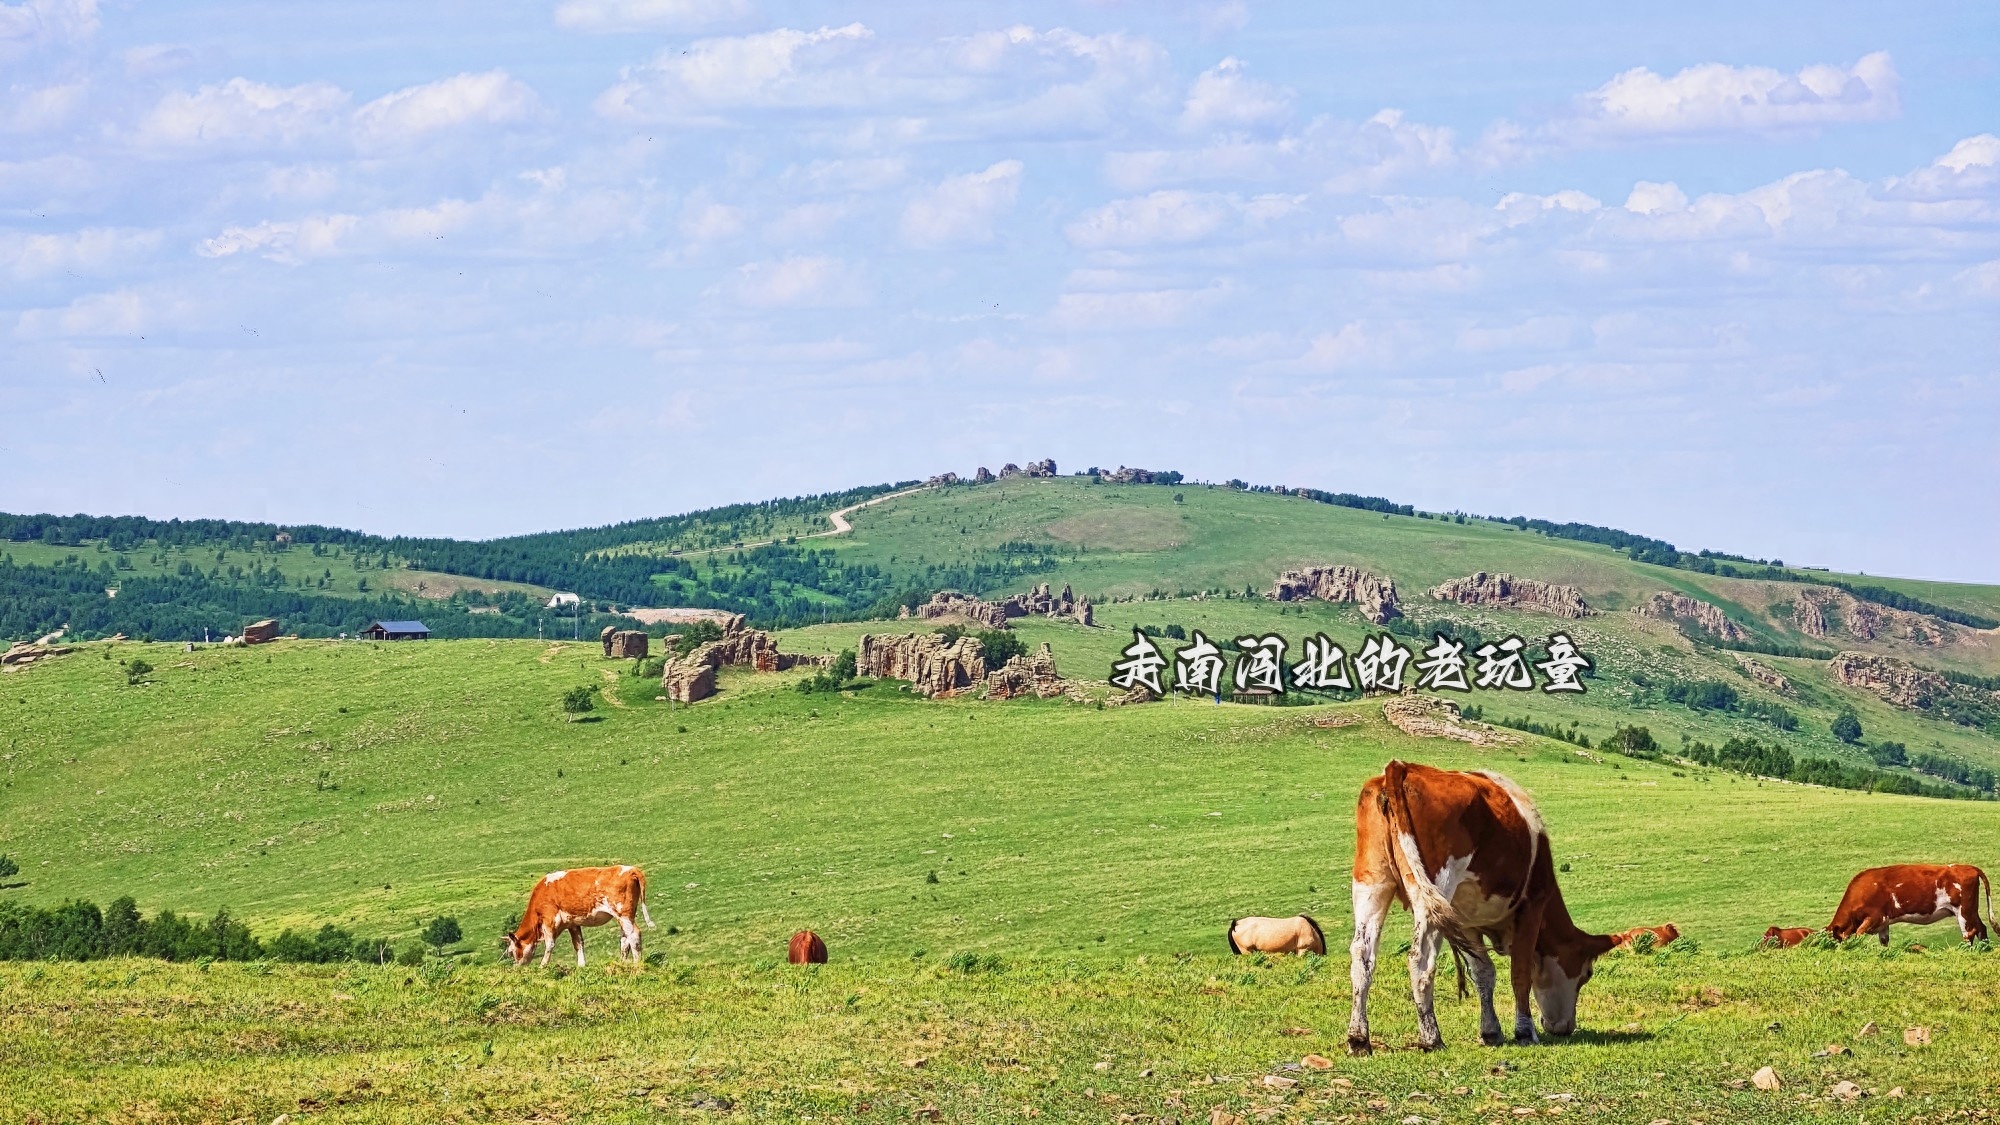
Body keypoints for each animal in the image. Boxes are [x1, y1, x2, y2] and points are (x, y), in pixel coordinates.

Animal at [504, 856, 652, 964]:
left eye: (511, 952)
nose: (517, 967)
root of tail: (632, 869)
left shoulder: (549, 919)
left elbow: (549, 944)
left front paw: (543, 966)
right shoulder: (572, 923)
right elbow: (578, 944)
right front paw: (581, 966)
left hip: (623, 914)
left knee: (634, 935)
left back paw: (637, 963)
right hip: (625, 916)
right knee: (625, 939)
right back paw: (621, 963)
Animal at [1344, 756, 1608, 1048]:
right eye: (1586, 974)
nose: (1566, 1027)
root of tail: (1401, 768)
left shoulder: (1465, 921)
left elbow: (1484, 972)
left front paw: (1491, 1031)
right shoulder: (1532, 904)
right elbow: (1520, 973)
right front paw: (1524, 1031)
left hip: (1371, 881)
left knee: (1362, 955)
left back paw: (1358, 1038)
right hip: (1436, 885)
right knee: (1420, 959)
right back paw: (1430, 1038)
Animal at [1824, 860, 1992, 940]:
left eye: (1835, 941)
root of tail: (1968, 867)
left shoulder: (1875, 916)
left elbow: (1859, 934)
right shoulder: (1884, 923)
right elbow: (1884, 942)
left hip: (1963, 911)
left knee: (1969, 933)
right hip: (1971, 910)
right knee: (1981, 928)